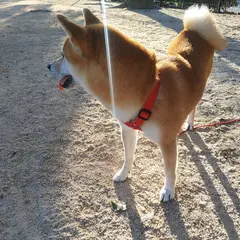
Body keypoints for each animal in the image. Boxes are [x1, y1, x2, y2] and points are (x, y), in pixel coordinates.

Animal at [47, 5, 227, 202]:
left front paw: (168, 190)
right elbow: (128, 156)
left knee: (194, 106)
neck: (148, 88)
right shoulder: (128, 129)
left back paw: (189, 123)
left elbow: (170, 170)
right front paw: (123, 173)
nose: (48, 66)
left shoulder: (166, 142)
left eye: (63, 56)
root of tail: (193, 31)